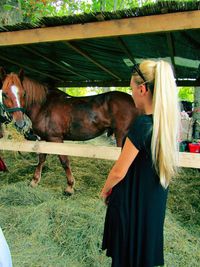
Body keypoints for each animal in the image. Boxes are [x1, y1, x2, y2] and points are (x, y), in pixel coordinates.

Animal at [0, 68, 140, 195]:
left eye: (23, 93)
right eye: (4, 94)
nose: (20, 123)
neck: (44, 106)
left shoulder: (56, 139)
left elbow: (64, 161)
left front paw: (69, 187)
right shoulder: (45, 139)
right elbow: (41, 159)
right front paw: (34, 181)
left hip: (122, 136)